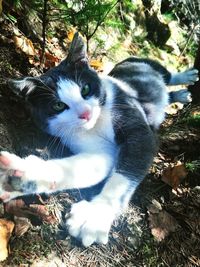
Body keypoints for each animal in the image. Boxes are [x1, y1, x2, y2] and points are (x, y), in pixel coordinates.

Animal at [0, 33, 198, 247]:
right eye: (58, 105)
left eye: (85, 89)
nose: (86, 113)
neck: (96, 125)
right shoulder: (83, 140)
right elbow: (89, 165)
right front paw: (22, 175)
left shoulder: (136, 123)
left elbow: (125, 172)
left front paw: (96, 215)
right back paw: (180, 94)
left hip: (144, 64)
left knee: (165, 74)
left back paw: (186, 79)